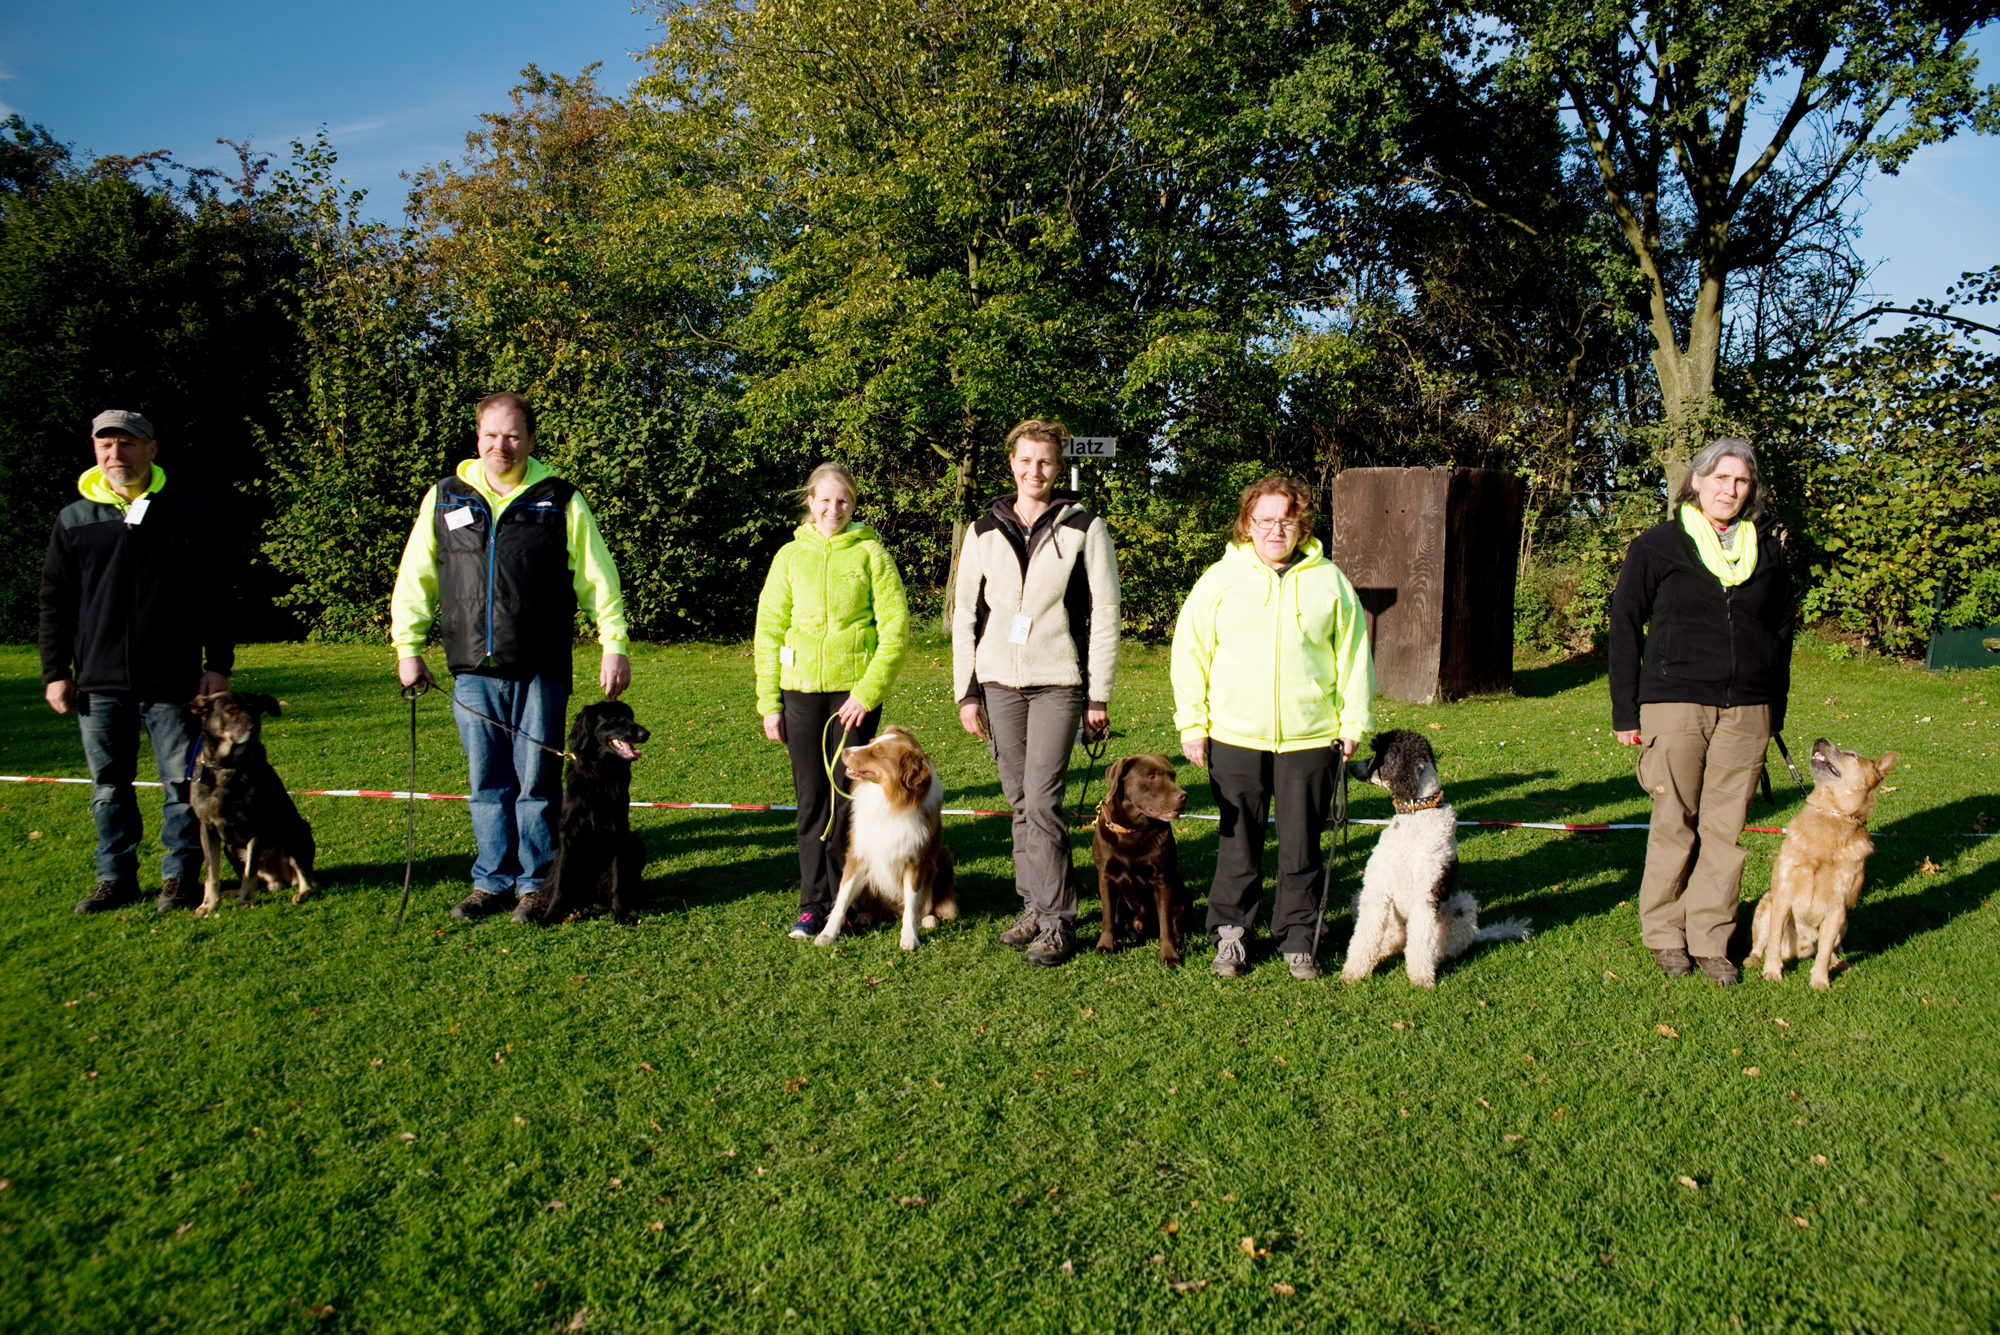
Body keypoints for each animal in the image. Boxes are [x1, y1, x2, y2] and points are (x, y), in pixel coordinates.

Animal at [186, 687, 314, 919]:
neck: (228, 767)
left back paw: (301, 893)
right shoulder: (207, 828)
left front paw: (245, 900)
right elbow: (211, 873)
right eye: (231, 710)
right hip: (230, 847)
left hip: (296, 832)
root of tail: (278, 880)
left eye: (255, 711)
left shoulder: (256, 827)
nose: (255, 728)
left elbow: (250, 871)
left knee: (306, 880)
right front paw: (209, 903)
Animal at [528, 699, 652, 927]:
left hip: (635, 842)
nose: (645, 733)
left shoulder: (617, 831)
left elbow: (617, 880)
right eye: (615, 718)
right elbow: (561, 883)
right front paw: (550, 915)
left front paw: (620, 914)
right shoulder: (568, 834)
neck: (601, 773)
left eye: (631, 716)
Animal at [1096, 755, 1184, 963]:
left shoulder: (1162, 879)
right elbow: (1107, 916)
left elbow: (1166, 924)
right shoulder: (1105, 876)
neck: (1133, 830)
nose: (1183, 795)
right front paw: (1105, 945)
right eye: (1152, 776)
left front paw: (1170, 955)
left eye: (1173, 776)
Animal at [1752, 739, 1888, 991]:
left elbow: (1824, 951)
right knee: (1760, 945)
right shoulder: (1783, 896)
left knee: (1828, 948)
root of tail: (1800, 950)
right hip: (1767, 905)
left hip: (1843, 923)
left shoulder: (1837, 908)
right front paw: (1772, 972)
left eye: (1852, 755)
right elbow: (1774, 943)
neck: (1832, 815)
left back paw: (1838, 963)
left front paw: (1820, 980)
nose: (1820, 739)